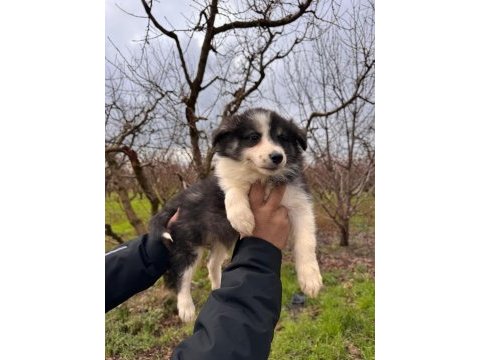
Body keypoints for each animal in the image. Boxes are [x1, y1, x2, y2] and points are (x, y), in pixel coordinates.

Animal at [150, 108, 322, 322]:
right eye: (253, 137)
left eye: (282, 138)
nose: (277, 157)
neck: (262, 179)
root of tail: (176, 202)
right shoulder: (227, 177)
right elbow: (233, 185)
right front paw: (242, 217)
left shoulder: (300, 203)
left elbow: (306, 242)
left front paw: (310, 278)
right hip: (188, 242)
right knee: (182, 273)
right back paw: (186, 307)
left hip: (221, 237)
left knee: (211, 263)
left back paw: (217, 286)